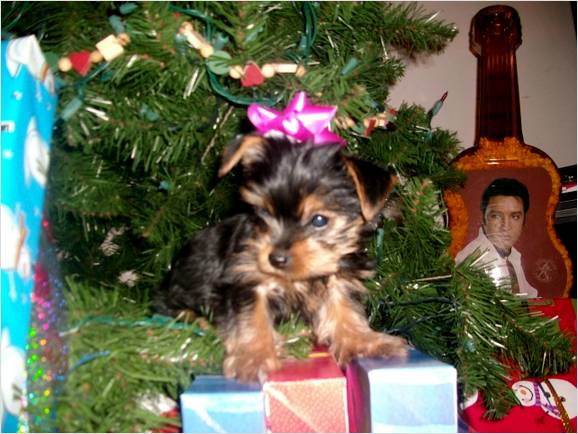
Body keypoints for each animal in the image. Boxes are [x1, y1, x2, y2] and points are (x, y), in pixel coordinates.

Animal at [153, 134, 404, 382]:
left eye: (319, 220)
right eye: (264, 212)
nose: (275, 259)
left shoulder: (339, 275)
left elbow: (345, 307)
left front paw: (364, 342)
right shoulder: (246, 278)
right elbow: (252, 316)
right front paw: (253, 358)